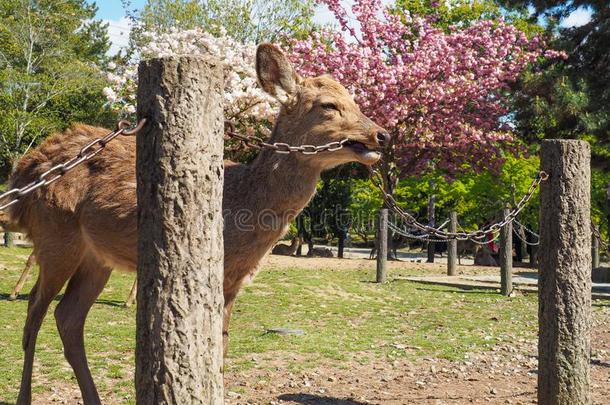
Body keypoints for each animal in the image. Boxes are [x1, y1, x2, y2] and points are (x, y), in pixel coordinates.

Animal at [5, 44, 390, 404]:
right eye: (328, 105)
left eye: (355, 101)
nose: (382, 135)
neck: (241, 209)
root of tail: (23, 171)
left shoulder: (234, 279)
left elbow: (222, 343)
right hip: (55, 236)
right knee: (34, 311)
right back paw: (25, 395)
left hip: (96, 258)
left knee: (67, 317)